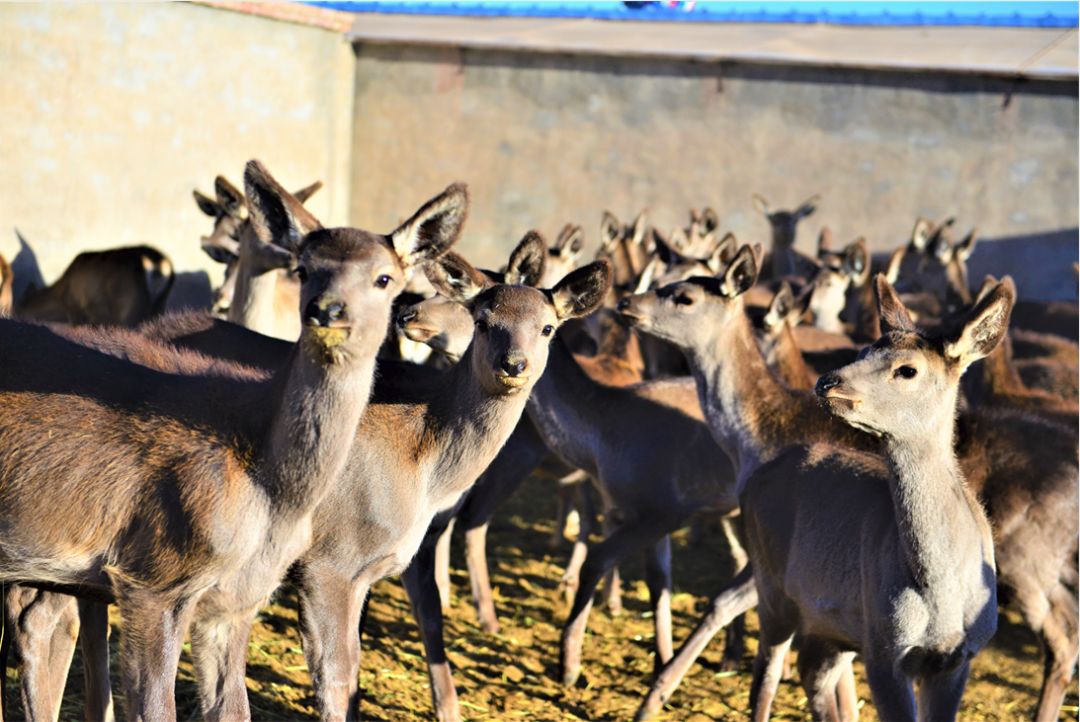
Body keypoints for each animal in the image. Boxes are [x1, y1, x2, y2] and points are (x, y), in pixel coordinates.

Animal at [0, 162, 464, 720]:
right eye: (304, 268)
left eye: (384, 277)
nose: (327, 310)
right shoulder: (152, 577)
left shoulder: (237, 599)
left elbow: (232, 706)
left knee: (38, 621)